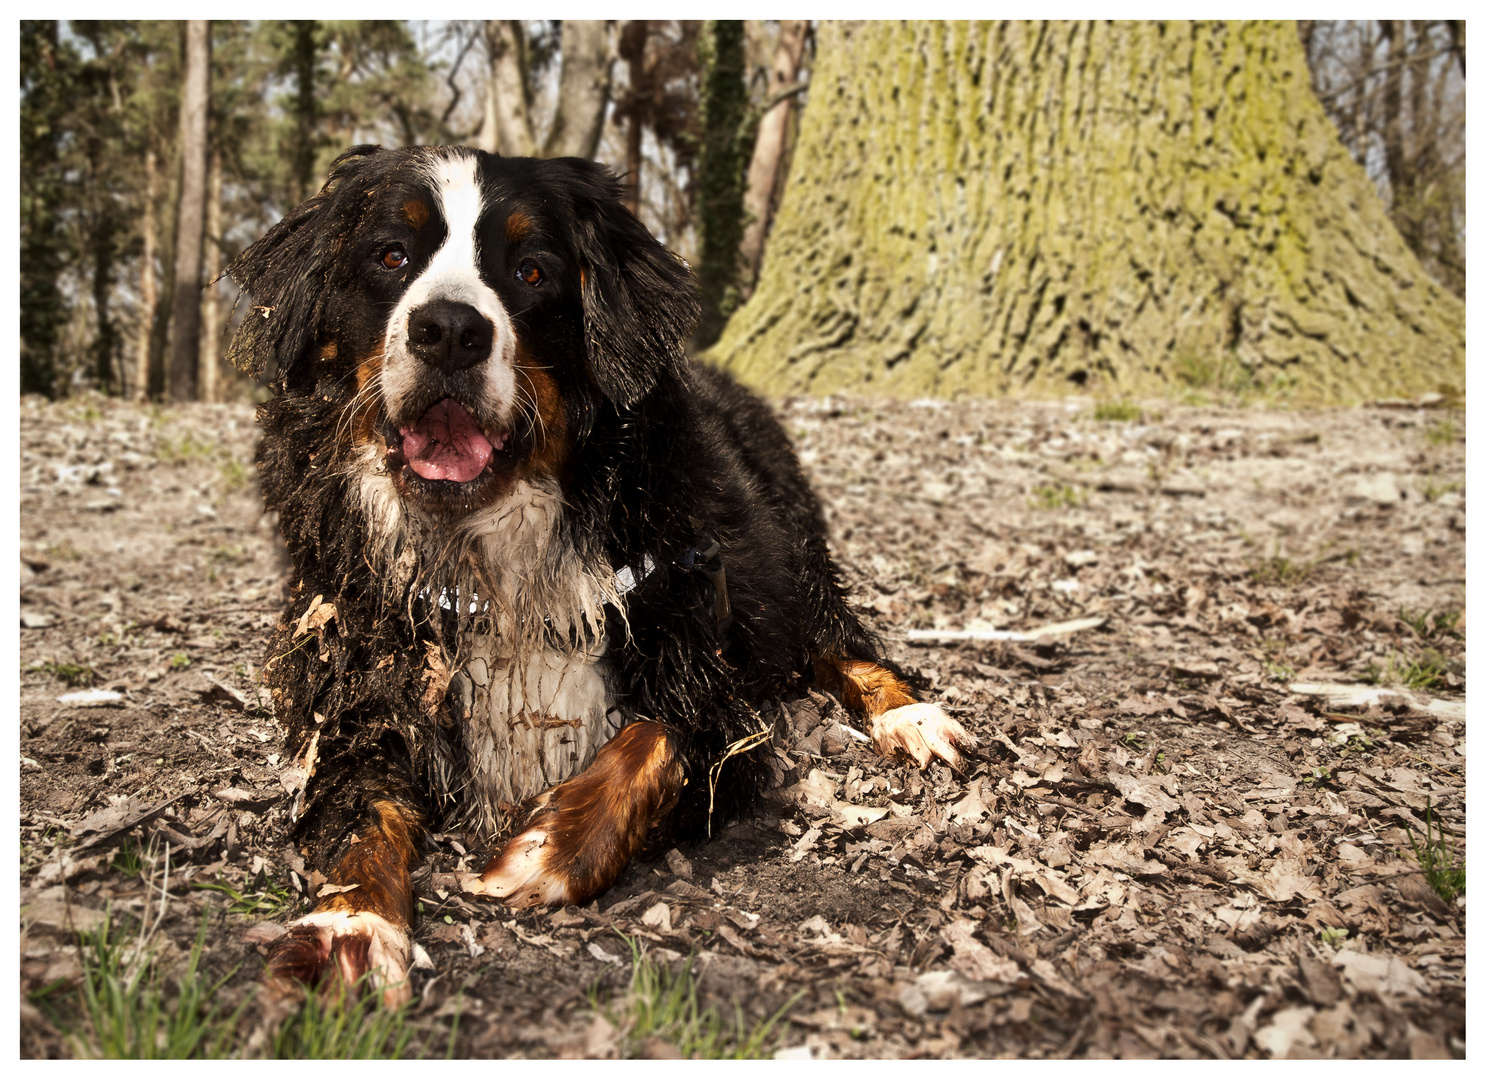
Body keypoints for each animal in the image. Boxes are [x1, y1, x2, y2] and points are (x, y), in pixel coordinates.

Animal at [222, 143, 974, 1004]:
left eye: (533, 271)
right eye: (390, 256)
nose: (448, 332)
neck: (489, 555)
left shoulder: (699, 657)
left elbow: (659, 739)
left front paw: (550, 846)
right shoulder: (361, 687)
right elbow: (357, 819)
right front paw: (350, 927)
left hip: (782, 556)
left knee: (835, 637)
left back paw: (912, 717)